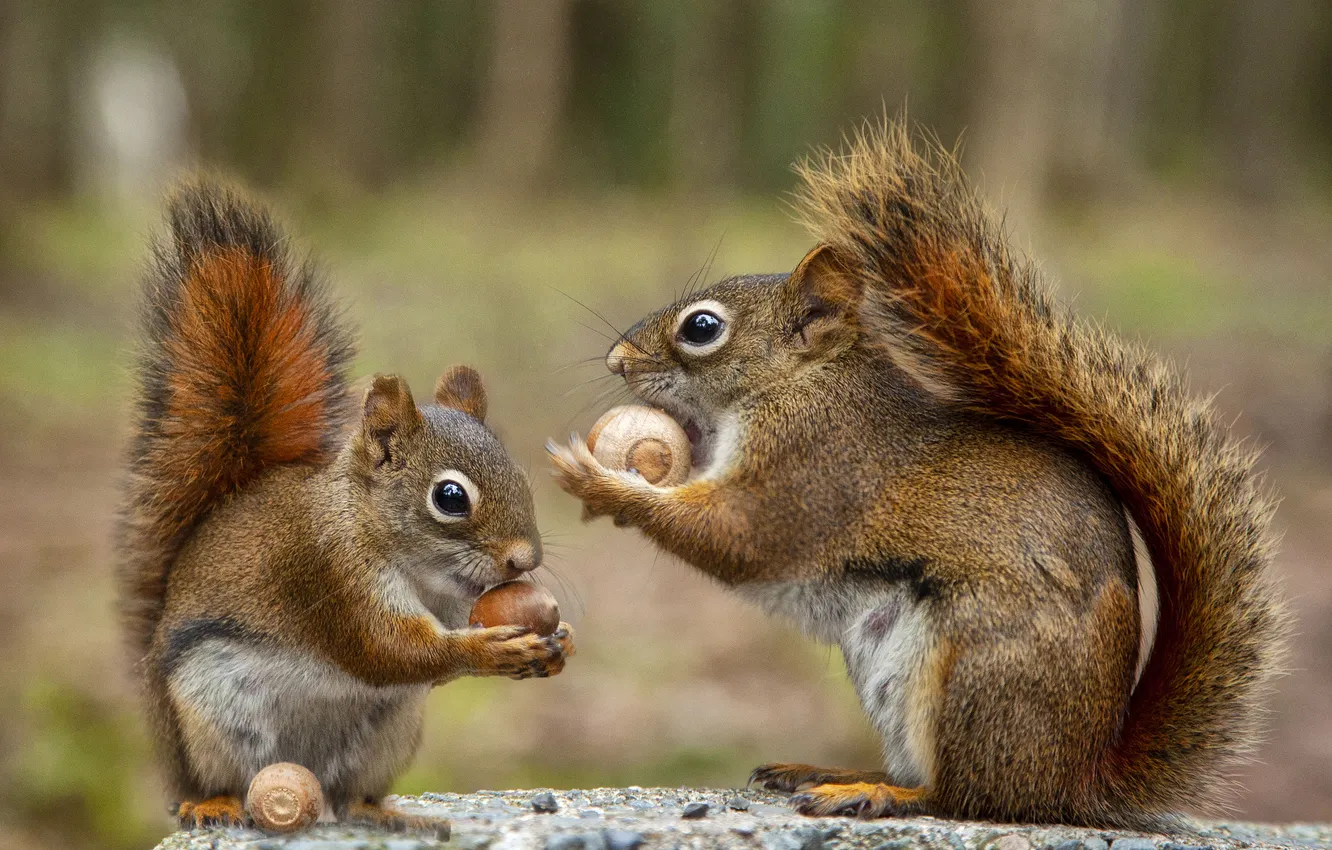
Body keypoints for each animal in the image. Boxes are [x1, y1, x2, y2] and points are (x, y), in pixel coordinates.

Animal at [117, 179, 574, 832]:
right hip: (208, 724)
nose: (524, 560)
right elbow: (389, 650)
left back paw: (389, 814)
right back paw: (212, 803)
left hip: (387, 734)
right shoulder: (326, 572)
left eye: (519, 475)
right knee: (215, 780)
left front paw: (560, 643)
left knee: (351, 791)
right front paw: (490, 649)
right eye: (450, 497)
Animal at [548, 121, 1284, 830]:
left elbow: (738, 537)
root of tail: (1073, 780)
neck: (805, 384)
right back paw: (826, 771)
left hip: (974, 673)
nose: (616, 360)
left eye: (702, 328)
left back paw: (875, 792)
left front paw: (598, 482)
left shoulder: (811, 471)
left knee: (964, 796)